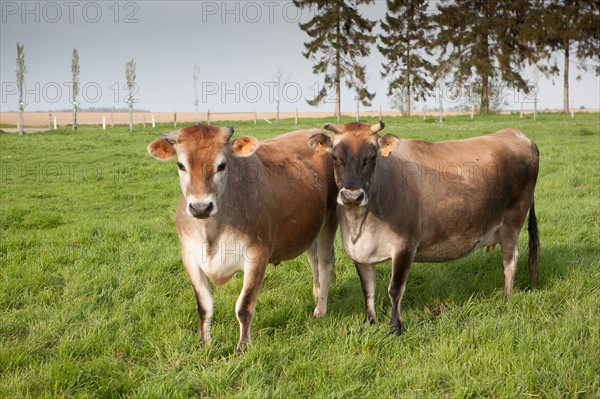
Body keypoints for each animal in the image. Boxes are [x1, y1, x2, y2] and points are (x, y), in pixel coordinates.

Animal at [148, 123, 338, 352]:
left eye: (222, 165)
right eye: (181, 165)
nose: (201, 207)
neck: (211, 233)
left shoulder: (257, 255)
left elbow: (244, 306)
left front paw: (243, 346)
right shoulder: (189, 256)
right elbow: (204, 305)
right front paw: (205, 343)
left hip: (330, 219)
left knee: (326, 263)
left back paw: (320, 308)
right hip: (309, 226)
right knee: (313, 259)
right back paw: (316, 294)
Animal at [310, 121, 540, 334]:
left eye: (372, 157)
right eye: (335, 157)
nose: (352, 196)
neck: (360, 224)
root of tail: (516, 134)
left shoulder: (405, 245)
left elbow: (395, 288)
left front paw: (395, 327)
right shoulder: (359, 252)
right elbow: (368, 289)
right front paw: (370, 322)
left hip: (513, 221)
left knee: (510, 261)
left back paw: (506, 297)